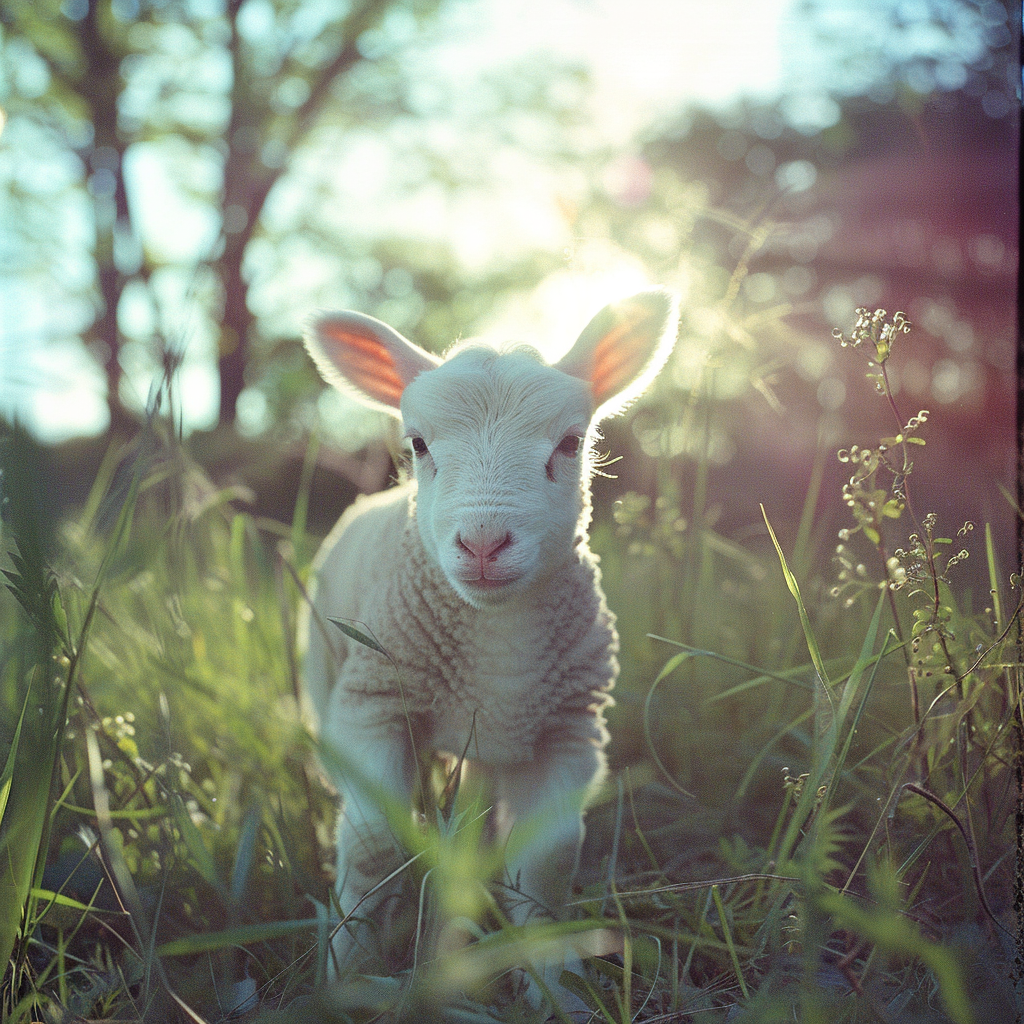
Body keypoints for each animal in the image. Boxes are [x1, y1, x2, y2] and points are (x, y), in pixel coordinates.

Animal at [301, 289, 679, 1009]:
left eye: (571, 441)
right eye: (418, 443)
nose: (482, 543)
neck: (493, 643)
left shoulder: (568, 728)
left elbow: (549, 860)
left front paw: (555, 989)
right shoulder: (373, 704)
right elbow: (371, 847)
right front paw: (348, 976)